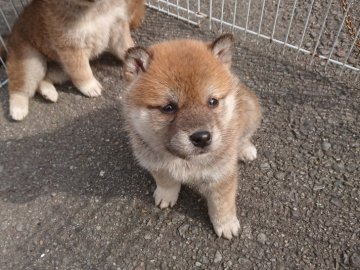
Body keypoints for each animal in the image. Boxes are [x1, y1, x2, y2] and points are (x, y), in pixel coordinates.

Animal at [5, 0, 145, 121]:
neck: (95, 9)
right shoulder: (72, 45)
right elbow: (82, 71)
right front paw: (90, 86)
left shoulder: (117, 26)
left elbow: (127, 46)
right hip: (30, 62)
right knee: (19, 87)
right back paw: (18, 110)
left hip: (61, 70)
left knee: (44, 79)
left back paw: (49, 93)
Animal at [123, 33, 262, 238]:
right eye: (168, 108)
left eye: (212, 101)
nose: (202, 137)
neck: (184, 160)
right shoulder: (155, 163)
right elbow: (165, 181)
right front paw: (166, 195)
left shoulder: (221, 174)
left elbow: (222, 204)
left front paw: (226, 224)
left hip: (251, 111)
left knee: (244, 135)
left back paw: (245, 149)